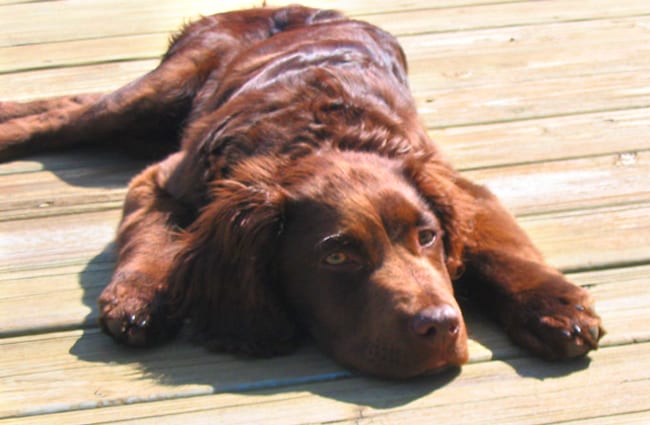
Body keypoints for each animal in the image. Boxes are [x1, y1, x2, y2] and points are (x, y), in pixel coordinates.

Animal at [0, 5, 600, 378]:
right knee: (69, 112)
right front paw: (140, 297)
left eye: (427, 237)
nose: (442, 326)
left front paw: (555, 308)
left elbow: (499, 250)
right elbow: (151, 236)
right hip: (164, 89)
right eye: (336, 257)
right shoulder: (166, 179)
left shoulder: (456, 185)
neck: (320, 135)